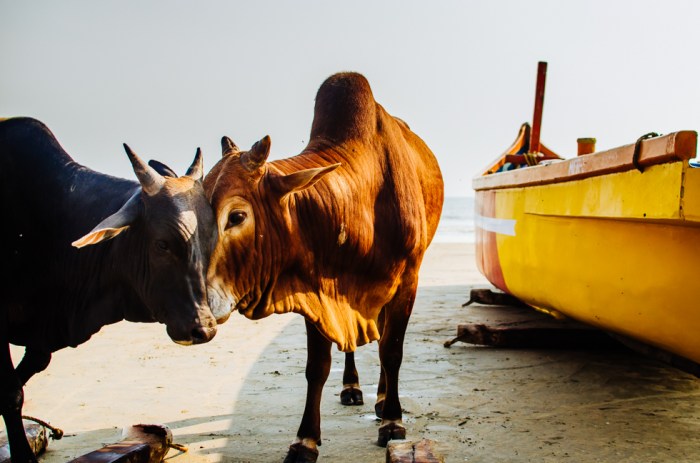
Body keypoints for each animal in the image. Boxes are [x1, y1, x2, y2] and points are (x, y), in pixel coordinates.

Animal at [204, 72, 443, 462]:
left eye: (237, 216)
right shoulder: (316, 288)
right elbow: (317, 367)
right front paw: (306, 440)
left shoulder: (407, 281)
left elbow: (391, 350)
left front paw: (392, 421)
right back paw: (353, 388)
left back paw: (381, 399)